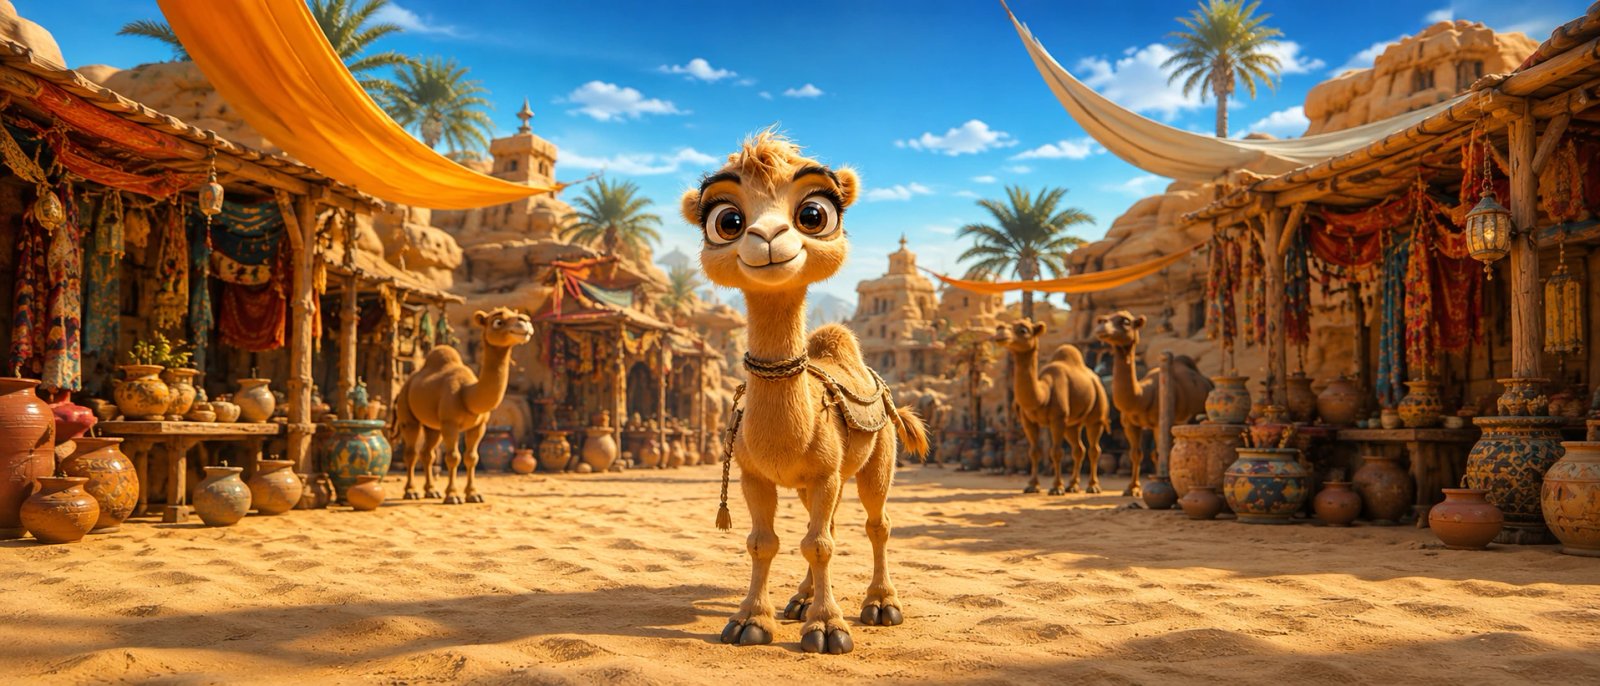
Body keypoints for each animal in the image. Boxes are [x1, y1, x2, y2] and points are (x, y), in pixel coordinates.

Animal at [390, 307, 533, 504]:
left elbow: (472, 457)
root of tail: (406, 384)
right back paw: (411, 492)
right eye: (497, 322)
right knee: (411, 452)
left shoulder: (479, 426)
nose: (525, 320)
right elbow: (453, 457)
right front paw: (453, 495)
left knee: (428, 453)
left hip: (433, 426)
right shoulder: (450, 423)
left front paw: (473, 494)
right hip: (407, 413)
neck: (468, 394)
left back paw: (431, 491)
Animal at [682, 132, 929, 655]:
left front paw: (829, 629)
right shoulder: (756, 475)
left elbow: (819, 544)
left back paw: (881, 605)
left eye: (814, 214)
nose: (768, 236)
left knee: (876, 523)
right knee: (830, 524)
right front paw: (749, 622)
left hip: (879, 458)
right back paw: (797, 602)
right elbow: (764, 542)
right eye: (727, 221)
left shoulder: (824, 474)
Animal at [996, 319, 1109, 495]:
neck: (1043, 395)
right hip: (1072, 424)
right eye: (1003, 325)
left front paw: (1056, 488)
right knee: (1078, 448)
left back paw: (1093, 487)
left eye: (1023, 330)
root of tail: (1095, 377)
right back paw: (1073, 486)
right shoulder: (1028, 420)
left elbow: (1056, 452)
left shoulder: (1057, 419)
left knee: (1094, 447)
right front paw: (1032, 486)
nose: (1000, 331)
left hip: (1097, 410)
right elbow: (1034, 452)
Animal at [1092, 310, 1212, 497]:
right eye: (1104, 318)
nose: (1101, 324)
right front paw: (1132, 488)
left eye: (1126, 321)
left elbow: (1158, 452)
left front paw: (1161, 483)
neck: (1141, 396)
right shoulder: (1130, 424)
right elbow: (1136, 454)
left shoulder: (1157, 424)